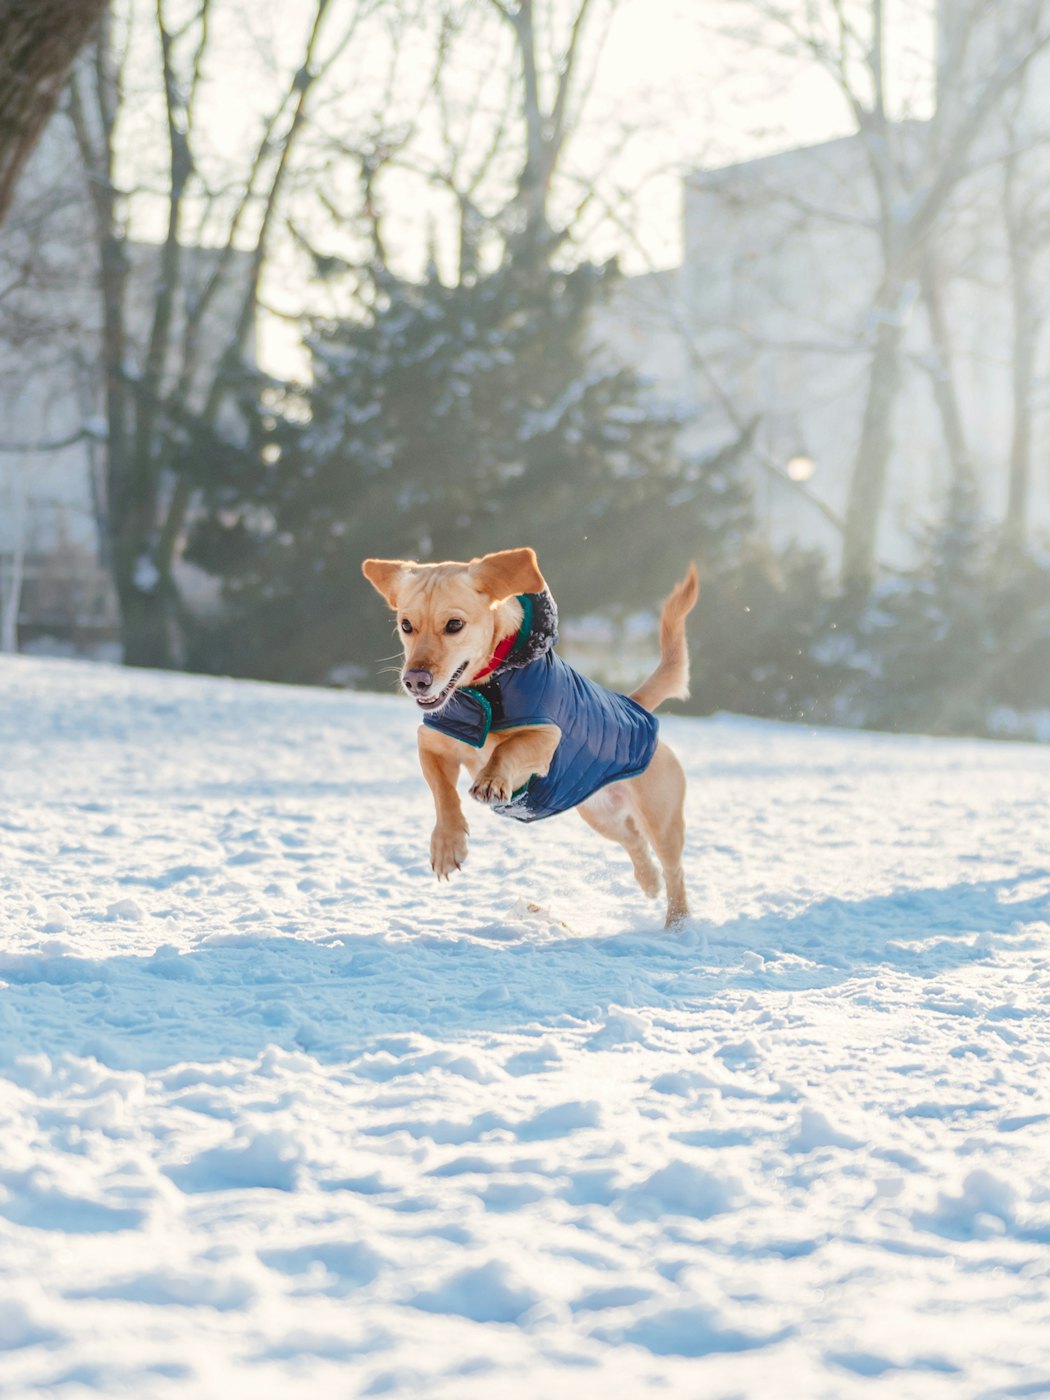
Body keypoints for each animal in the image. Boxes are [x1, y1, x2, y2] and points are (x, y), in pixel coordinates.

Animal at [361, 548, 700, 929]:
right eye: (406, 625)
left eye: (454, 625)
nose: (415, 680)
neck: (486, 689)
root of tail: (634, 705)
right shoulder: (430, 741)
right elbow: (442, 794)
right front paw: (447, 845)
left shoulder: (546, 738)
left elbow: (508, 748)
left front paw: (492, 781)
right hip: (600, 815)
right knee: (635, 842)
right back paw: (649, 881)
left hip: (662, 819)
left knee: (674, 870)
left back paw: (677, 922)